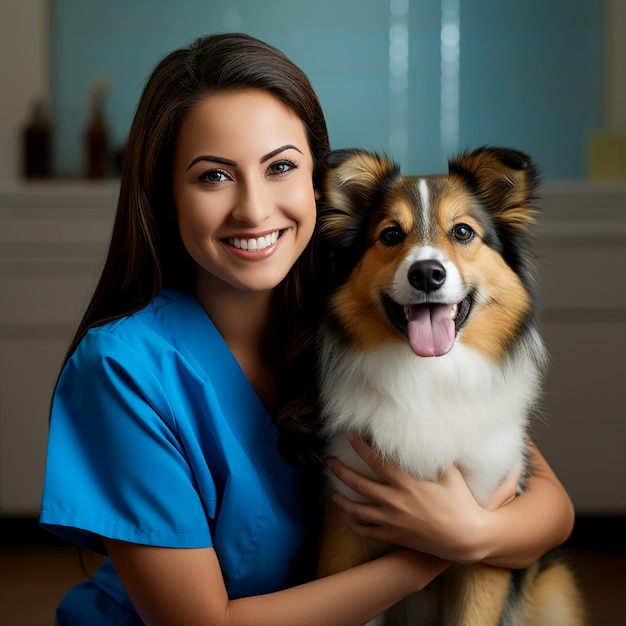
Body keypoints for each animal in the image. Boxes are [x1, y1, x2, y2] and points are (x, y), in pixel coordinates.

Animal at [314, 147, 584, 624]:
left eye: (462, 231)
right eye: (390, 234)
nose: (427, 274)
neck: (429, 376)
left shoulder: (488, 531)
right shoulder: (345, 527)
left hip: (555, 590)